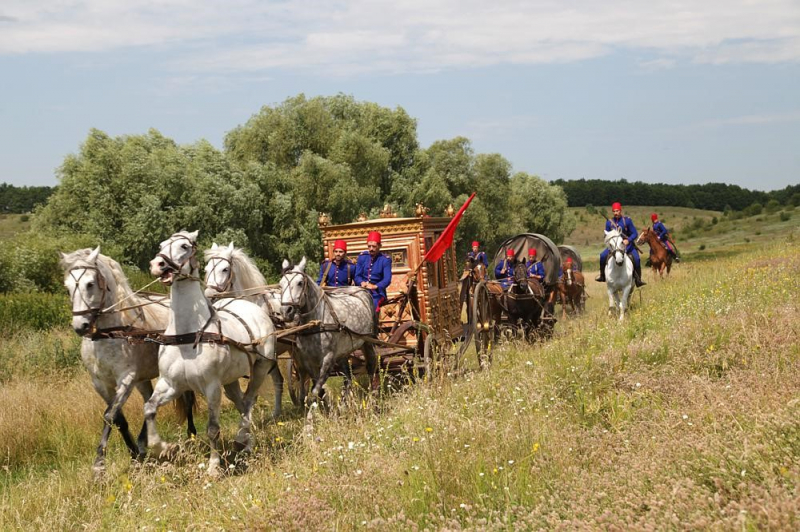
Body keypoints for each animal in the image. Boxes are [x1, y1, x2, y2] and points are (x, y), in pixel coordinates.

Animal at [59, 245, 195, 474]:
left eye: (90, 283)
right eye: (67, 287)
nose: (80, 326)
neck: (110, 333)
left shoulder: (126, 379)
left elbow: (109, 416)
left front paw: (99, 465)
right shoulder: (101, 383)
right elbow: (118, 419)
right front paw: (134, 454)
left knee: (189, 399)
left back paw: (192, 435)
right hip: (143, 379)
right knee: (149, 401)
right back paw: (142, 443)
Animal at [144, 231, 282, 472]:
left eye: (184, 246)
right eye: (161, 245)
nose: (158, 265)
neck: (187, 334)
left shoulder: (211, 386)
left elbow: (212, 428)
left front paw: (213, 467)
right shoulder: (171, 384)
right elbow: (149, 408)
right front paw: (164, 448)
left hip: (260, 368)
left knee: (249, 402)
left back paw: (242, 440)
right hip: (231, 381)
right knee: (242, 404)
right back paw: (246, 442)